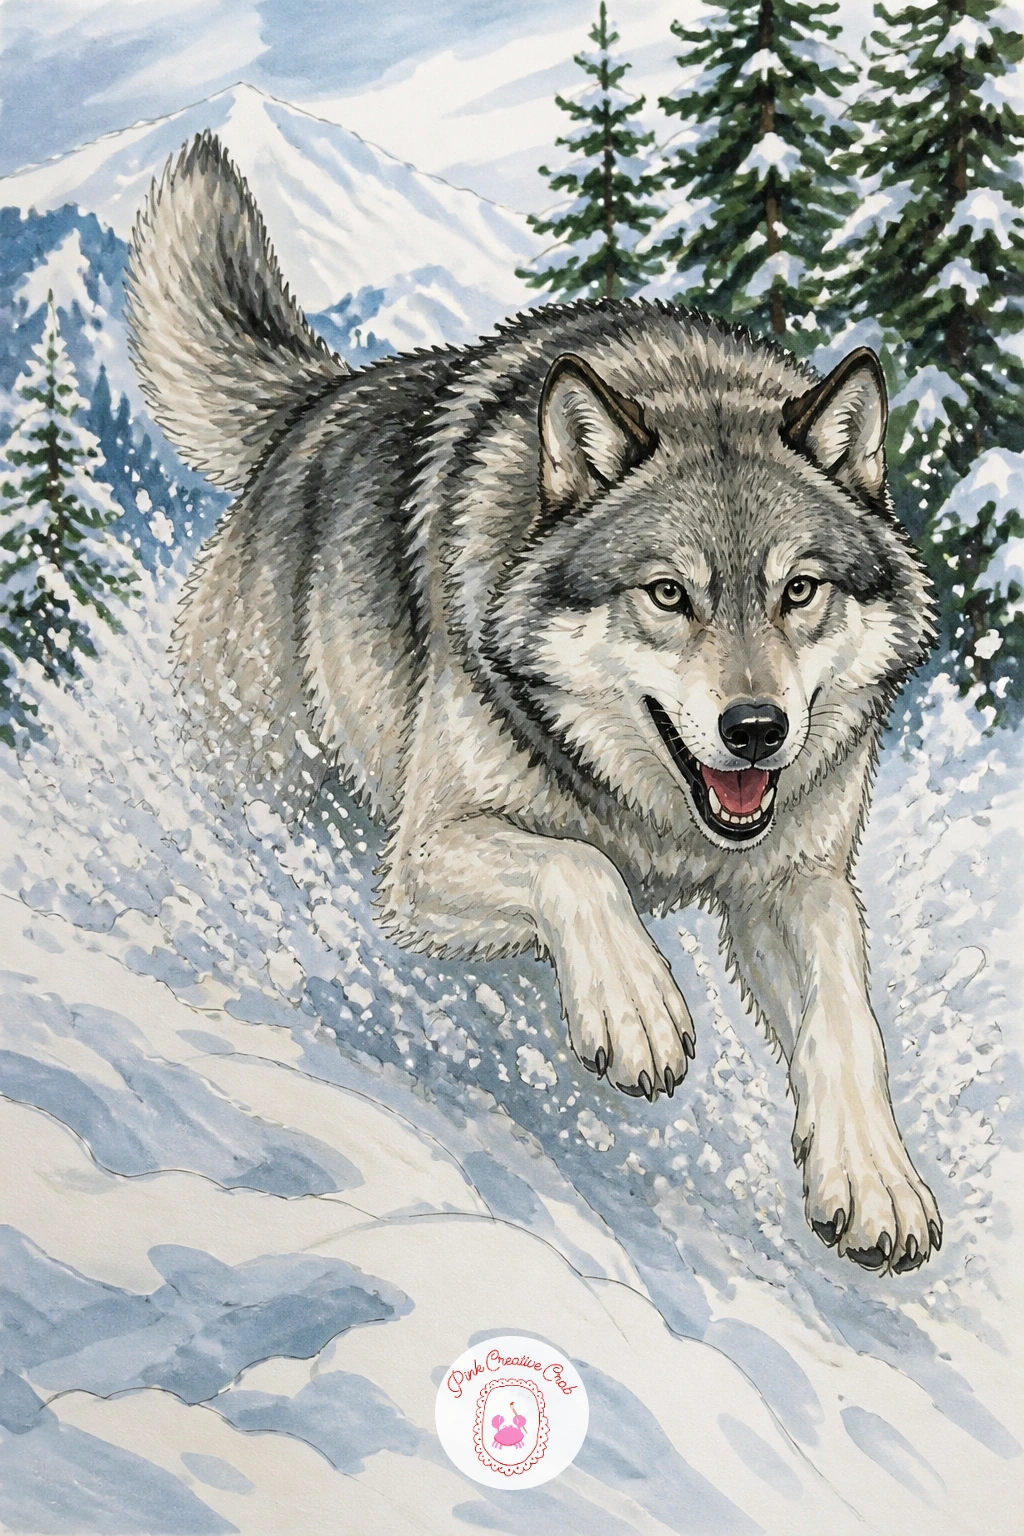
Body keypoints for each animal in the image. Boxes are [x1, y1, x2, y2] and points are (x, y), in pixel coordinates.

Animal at [127, 133, 942, 1275]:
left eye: (799, 591)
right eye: (668, 594)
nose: (757, 730)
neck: (664, 831)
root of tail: (316, 405)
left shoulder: (798, 885)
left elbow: (851, 1026)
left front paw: (873, 1180)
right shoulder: (424, 859)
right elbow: (578, 867)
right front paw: (635, 1006)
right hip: (264, 787)